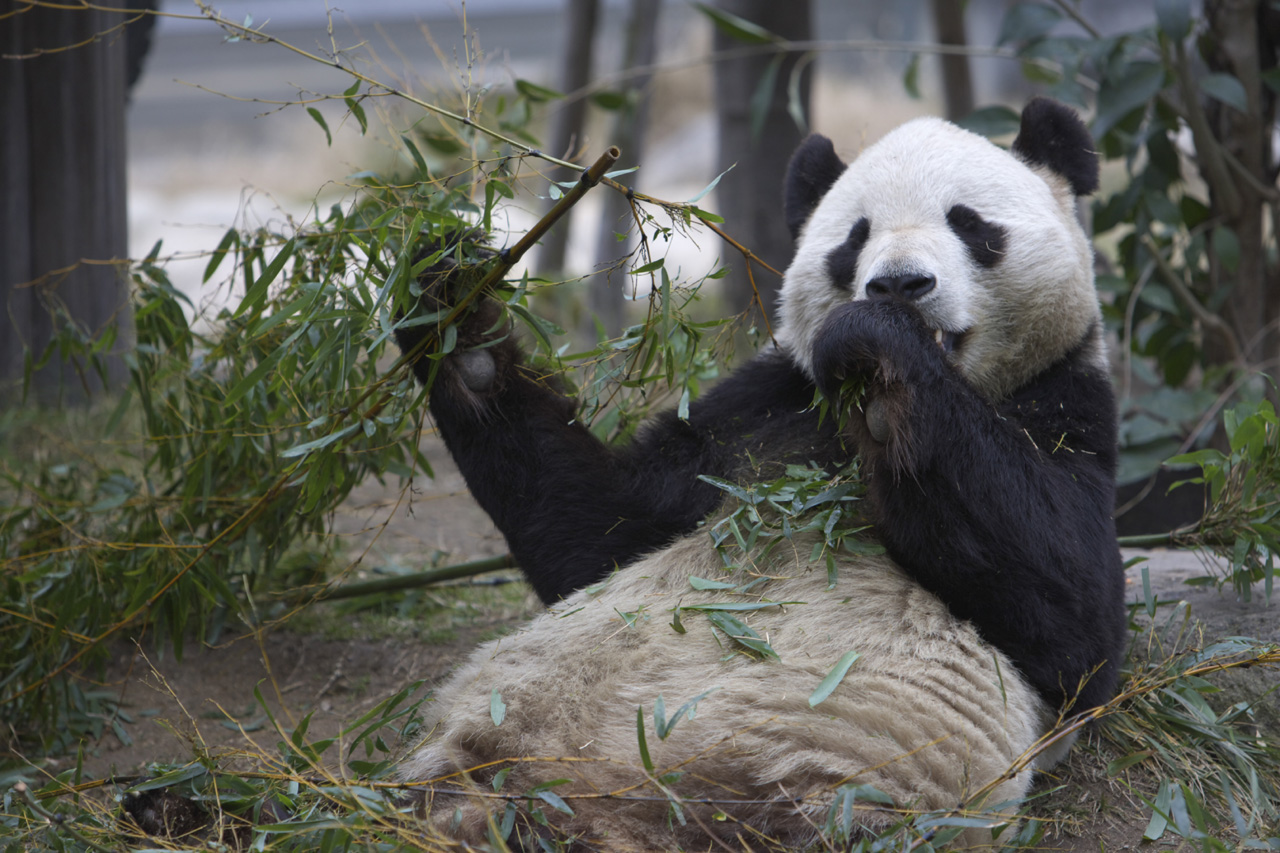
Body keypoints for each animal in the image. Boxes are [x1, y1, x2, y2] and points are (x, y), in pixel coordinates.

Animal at [394, 97, 1126, 845]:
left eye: (969, 223)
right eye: (854, 238)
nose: (898, 284)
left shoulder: (1064, 406)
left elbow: (1071, 622)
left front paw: (879, 347)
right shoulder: (758, 415)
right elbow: (597, 535)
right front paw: (453, 302)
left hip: (818, 779)